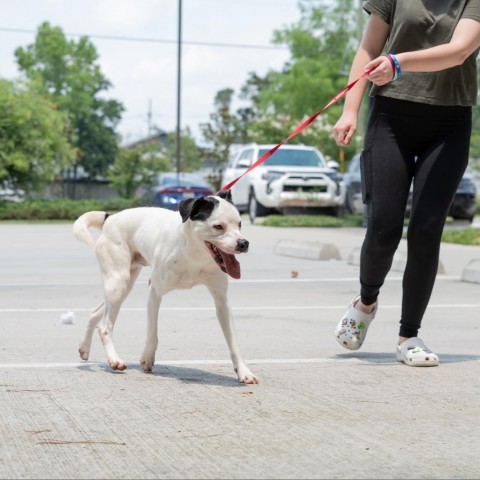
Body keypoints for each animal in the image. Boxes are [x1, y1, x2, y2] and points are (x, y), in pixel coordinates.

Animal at [72, 189, 258, 384]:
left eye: (239, 224)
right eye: (218, 226)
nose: (243, 243)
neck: (193, 254)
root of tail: (110, 218)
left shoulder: (221, 300)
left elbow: (233, 341)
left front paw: (244, 371)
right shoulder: (154, 291)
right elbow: (152, 333)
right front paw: (147, 358)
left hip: (124, 284)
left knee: (95, 313)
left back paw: (84, 349)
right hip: (118, 281)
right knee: (105, 326)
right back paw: (114, 360)